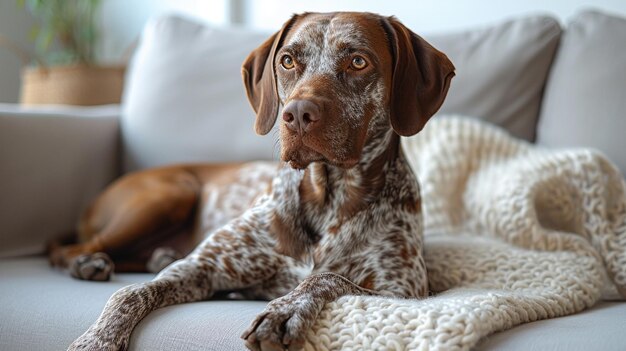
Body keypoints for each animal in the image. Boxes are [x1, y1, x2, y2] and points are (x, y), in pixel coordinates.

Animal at [63, 12, 450, 351]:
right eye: (288, 61)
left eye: (358, 61)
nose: (298, 114)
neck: (327, 196)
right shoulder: (201, 268)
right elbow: (131, 293)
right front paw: (95, 339)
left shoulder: (404, 292)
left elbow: (327, 277)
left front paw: (284, 311)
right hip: (171, 195)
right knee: (70, 250)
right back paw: (92, 263)